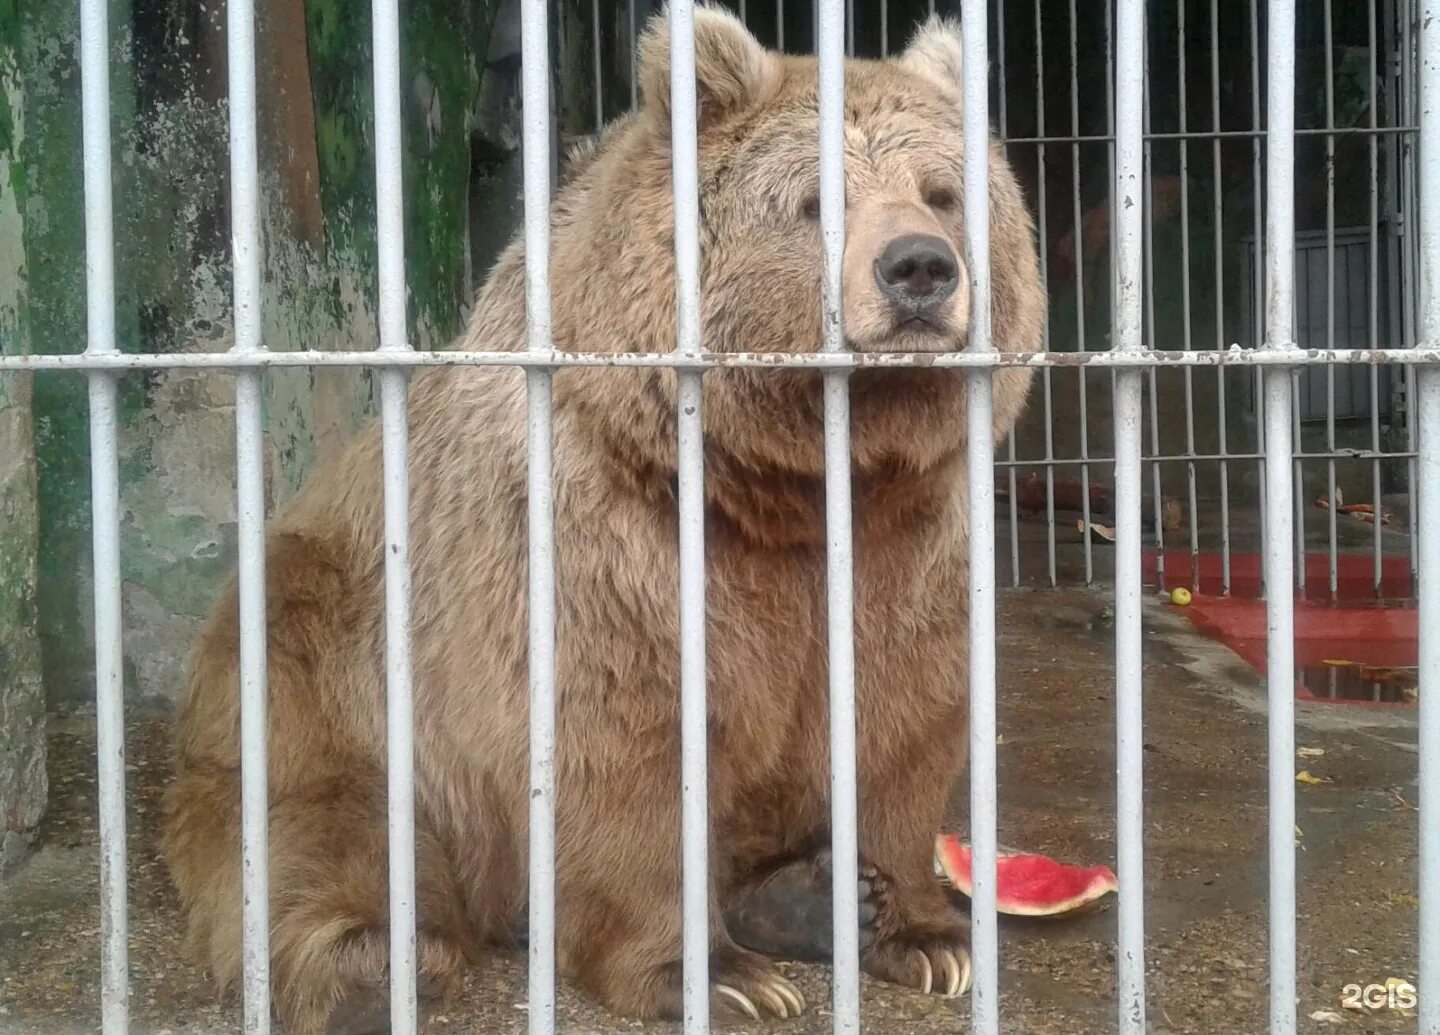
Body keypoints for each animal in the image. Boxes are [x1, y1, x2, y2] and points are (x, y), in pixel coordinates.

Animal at [160, 10, 1048, 1035]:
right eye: (817, 200)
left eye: (944, 195)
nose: (919, 268)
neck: (787, 480)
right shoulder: (601, 542)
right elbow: (627, 744)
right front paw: (711, 972)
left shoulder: (904, 543)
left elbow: (897, 718)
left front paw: (928, 934)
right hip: (326, 654)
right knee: (319, 823)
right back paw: (371, 960)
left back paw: (805, 895)